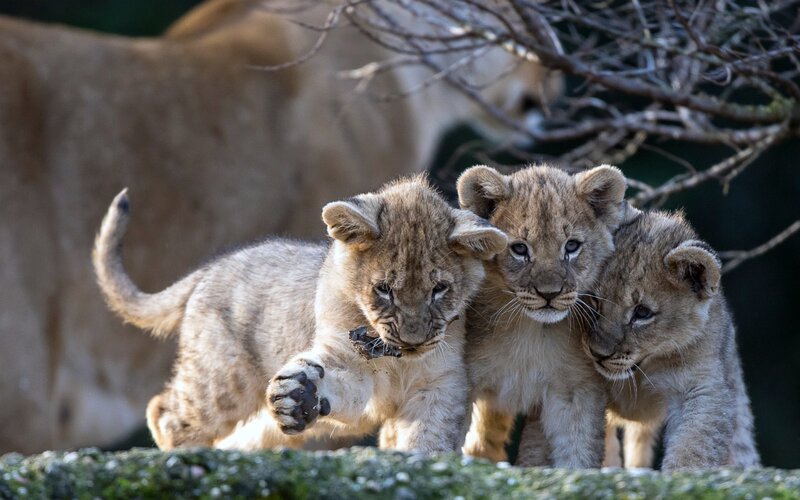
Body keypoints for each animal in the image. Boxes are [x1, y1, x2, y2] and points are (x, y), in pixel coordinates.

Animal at [0, 0, 559, 452]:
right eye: (382, 290)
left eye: (441, 290)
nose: (547, 86)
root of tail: (210, 270)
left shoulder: (438, 388)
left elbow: (424, 438)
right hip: (194, 375)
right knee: (167, 414)